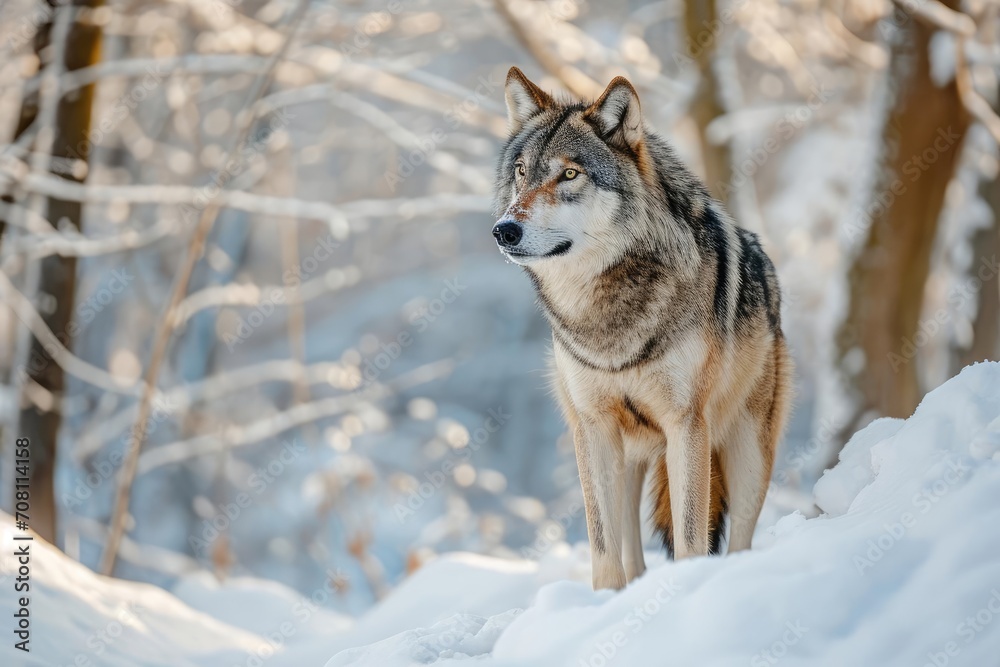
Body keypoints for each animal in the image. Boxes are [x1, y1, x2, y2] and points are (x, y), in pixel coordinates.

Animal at [490, 66, 788, 588]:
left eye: (570, 174)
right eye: (523, 172)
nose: (505, 230)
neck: (608, 312)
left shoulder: (686, 424)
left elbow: (690, 537)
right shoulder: (593, 428)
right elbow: (604, 549)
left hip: (746, 451)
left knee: (740, 540)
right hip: (627, 453)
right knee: (633, 550)